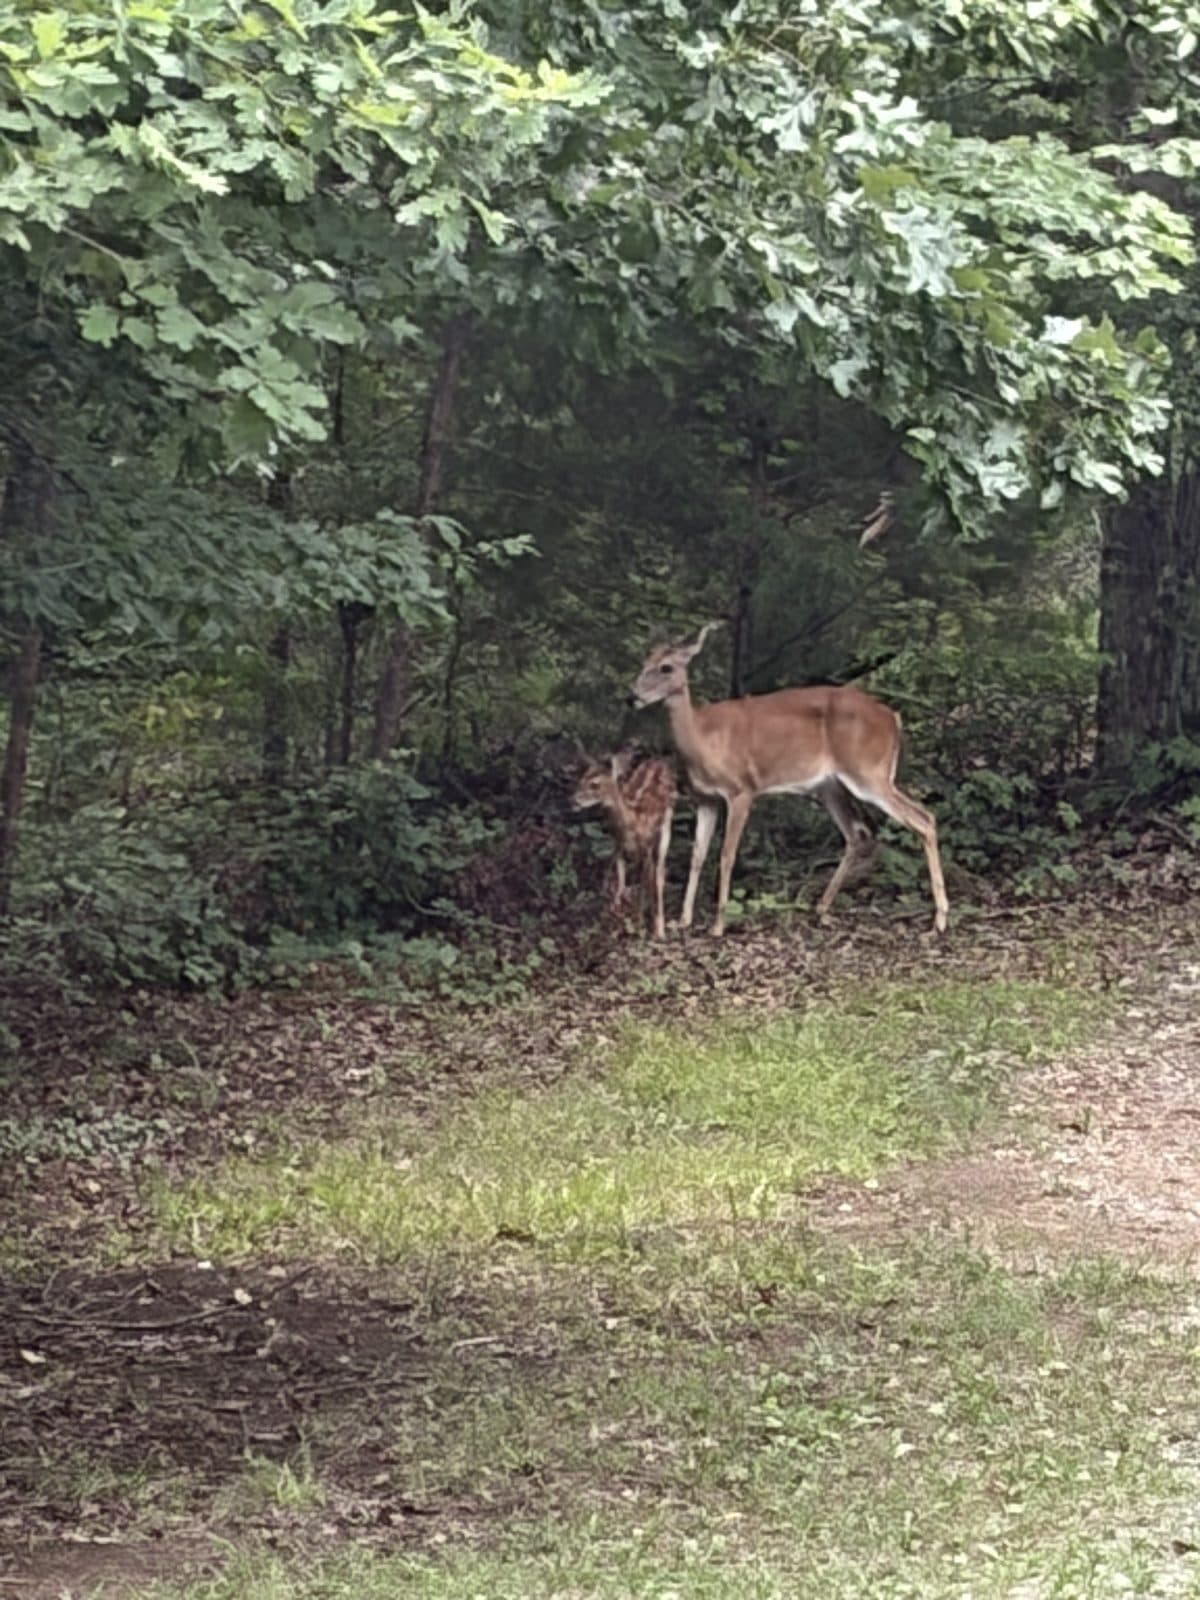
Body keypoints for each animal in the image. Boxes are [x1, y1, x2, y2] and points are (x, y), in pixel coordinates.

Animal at [571, 749, 676, 938]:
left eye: (594, 785)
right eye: (580, 780)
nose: (573, 801)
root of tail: (660, 760)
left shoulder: (647, 846)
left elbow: (647, 885)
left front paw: (644, 926)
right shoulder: (618, 845)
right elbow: (620, 881)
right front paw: (616, 914)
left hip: (666, 823)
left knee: (659, 874)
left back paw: (659, 927)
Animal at [628, 622, 948, 938]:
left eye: (666, 667)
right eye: (644, 663)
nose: (632, 696)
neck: (702, 740)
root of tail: (893, 717)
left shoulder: (742, 790)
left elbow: (726, 855)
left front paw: (718, 925)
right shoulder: (705, 799)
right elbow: (697, 856)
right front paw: (682, 920)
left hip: (869, 771)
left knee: (923, 819)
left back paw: (940, 919)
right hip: (829, 786)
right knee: (858, 834)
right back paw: (821, 908)